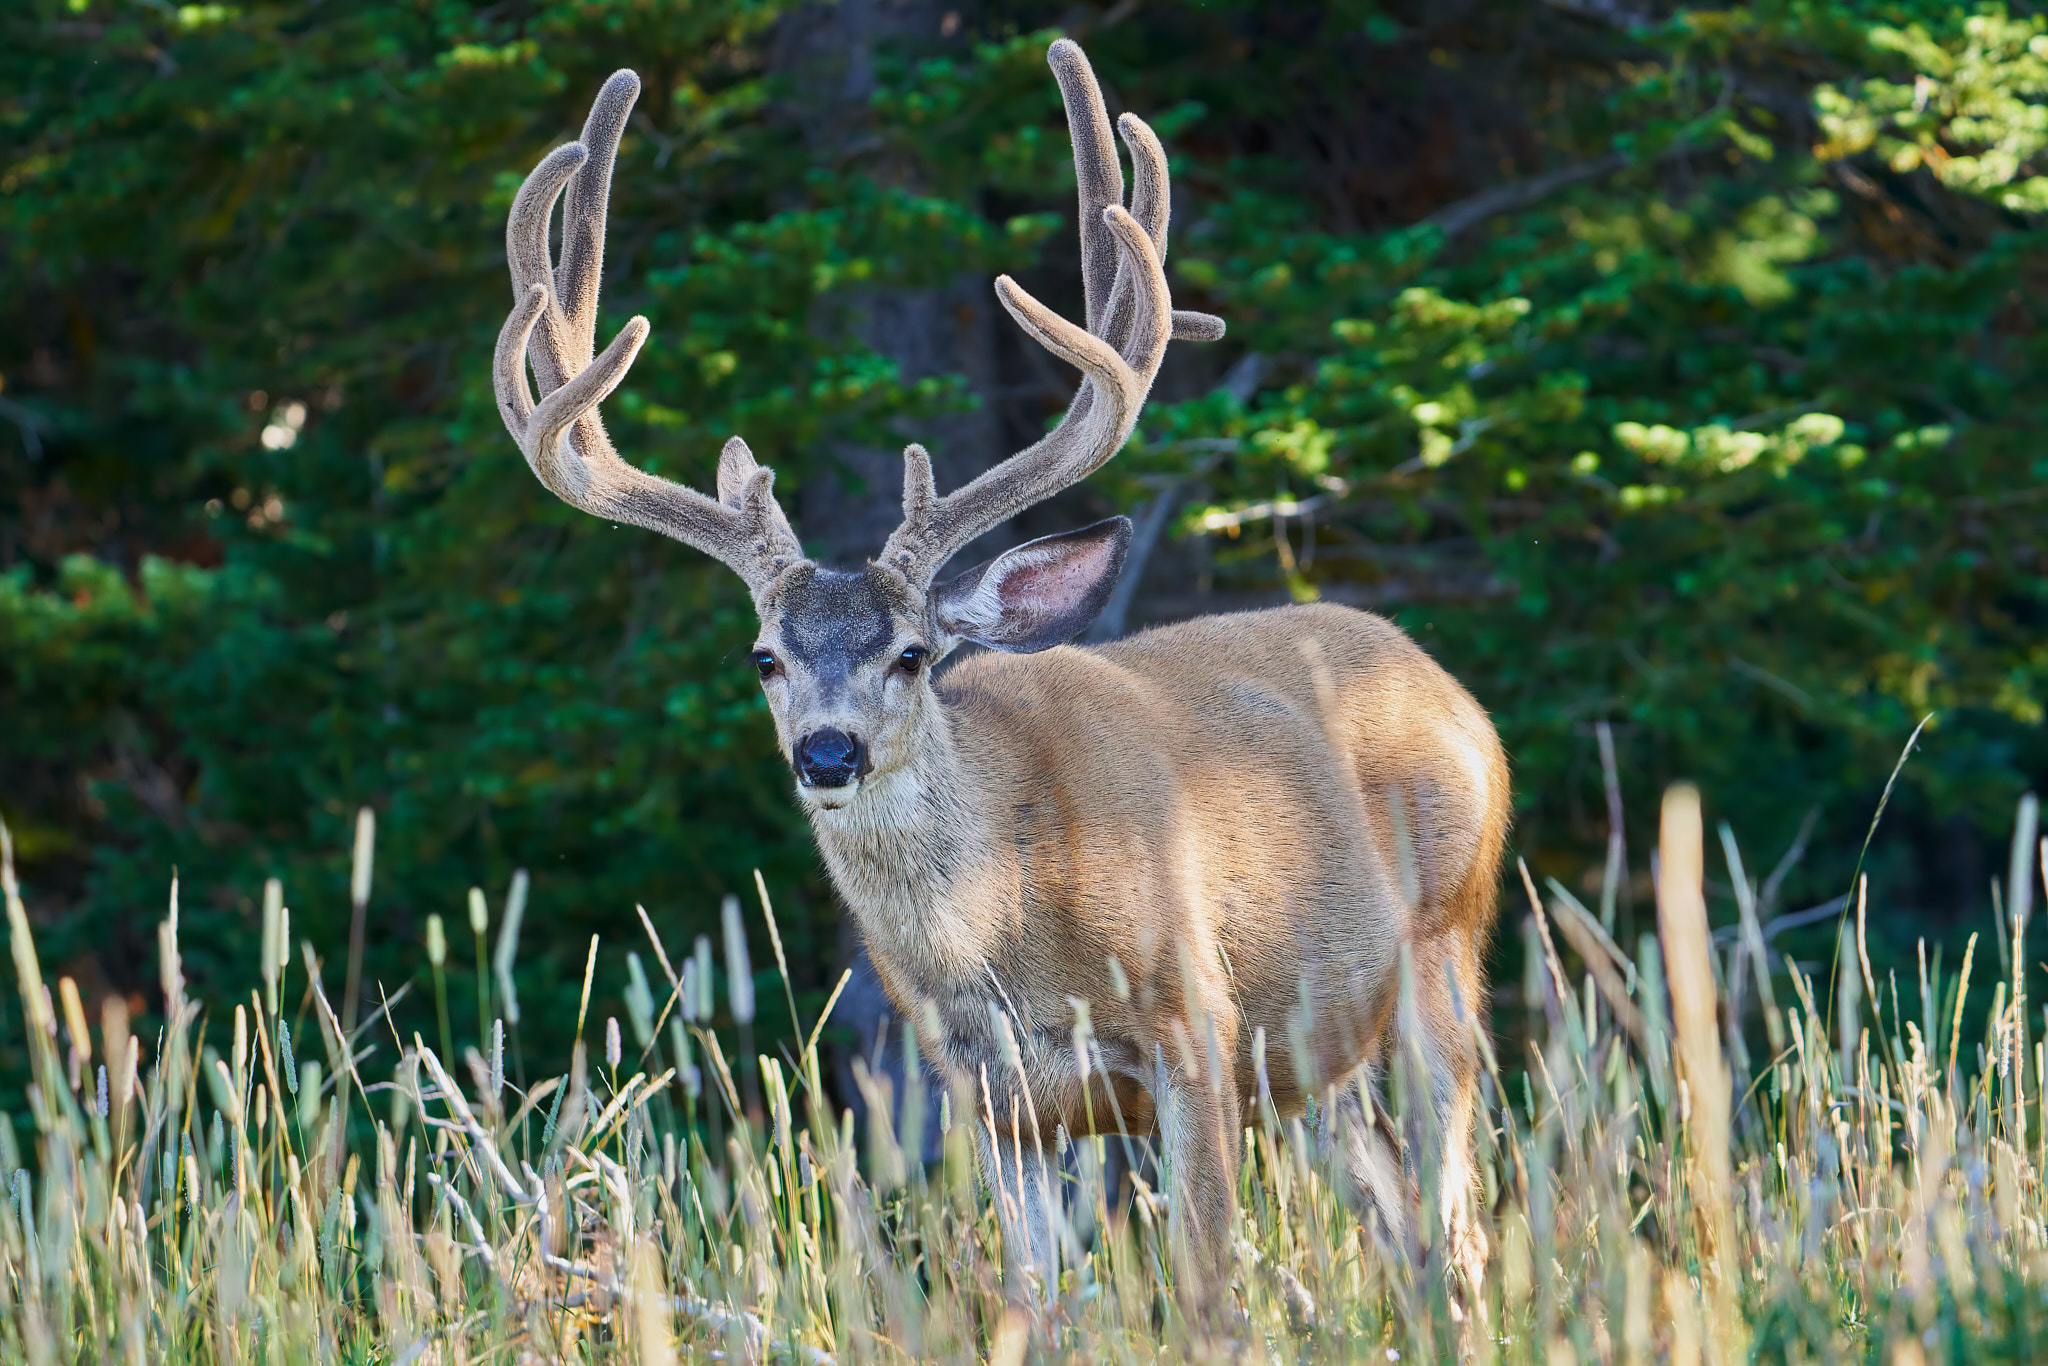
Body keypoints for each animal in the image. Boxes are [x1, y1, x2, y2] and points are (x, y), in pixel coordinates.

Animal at [492, 39, 1509, 1309]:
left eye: (913, 652)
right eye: (764, 655)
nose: (827, 751)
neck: (1003, 932)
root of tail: (1455, 694)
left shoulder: (1195, 1024)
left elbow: (1205, 1289)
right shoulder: (991, 1099)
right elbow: (1035, 1302)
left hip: (1441, 950)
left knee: (1460, 1225)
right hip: (1320, 1061)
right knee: (1406, 1231)